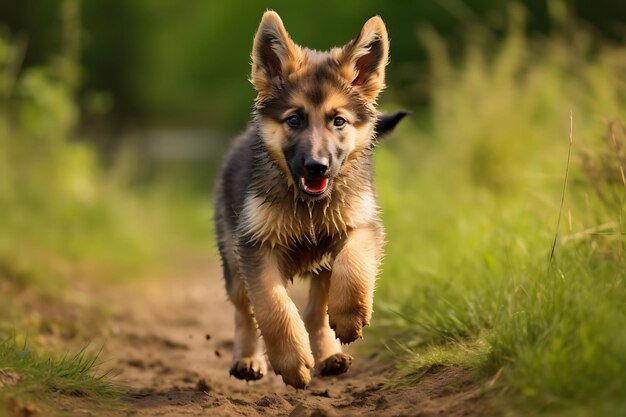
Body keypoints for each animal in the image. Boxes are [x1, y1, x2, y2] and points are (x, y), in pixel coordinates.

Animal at [212, 11, 402, 388]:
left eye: (338, 121)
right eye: (295, 119)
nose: (317, 166)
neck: (309, 207)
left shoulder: (361, 226)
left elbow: (353, 264)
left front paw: (350, 315)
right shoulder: (255, 246)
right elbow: (272, 305)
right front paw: (291, 361)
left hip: (323, 267)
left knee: (316, 312)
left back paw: (330, 356)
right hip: (233, 259)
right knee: (244, 312)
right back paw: (247, 359)